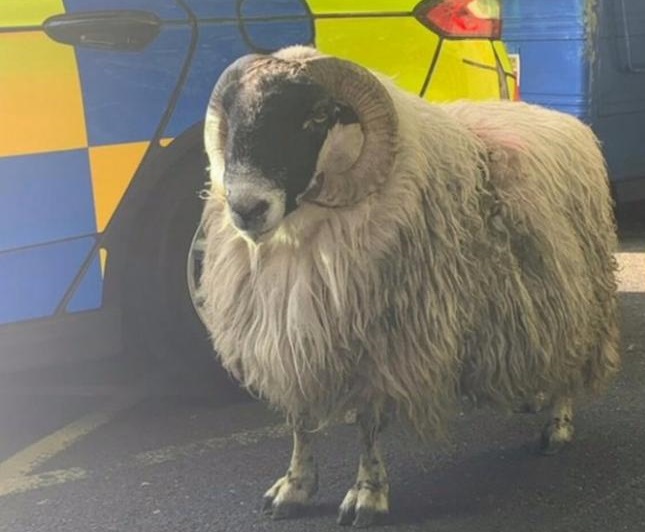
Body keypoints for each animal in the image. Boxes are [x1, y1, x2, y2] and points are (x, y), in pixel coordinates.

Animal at [196, 46, 620, 528]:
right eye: (232, 114)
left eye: (318, 115)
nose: (247, 208)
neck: (299, 235)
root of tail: (564, 118)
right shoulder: (292, 339)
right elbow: (300, 420)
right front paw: (294, 488)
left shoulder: (384, 343)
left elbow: (367, 424)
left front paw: (367, 495)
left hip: (578, 287)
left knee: (573, 356)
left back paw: (558, 425)